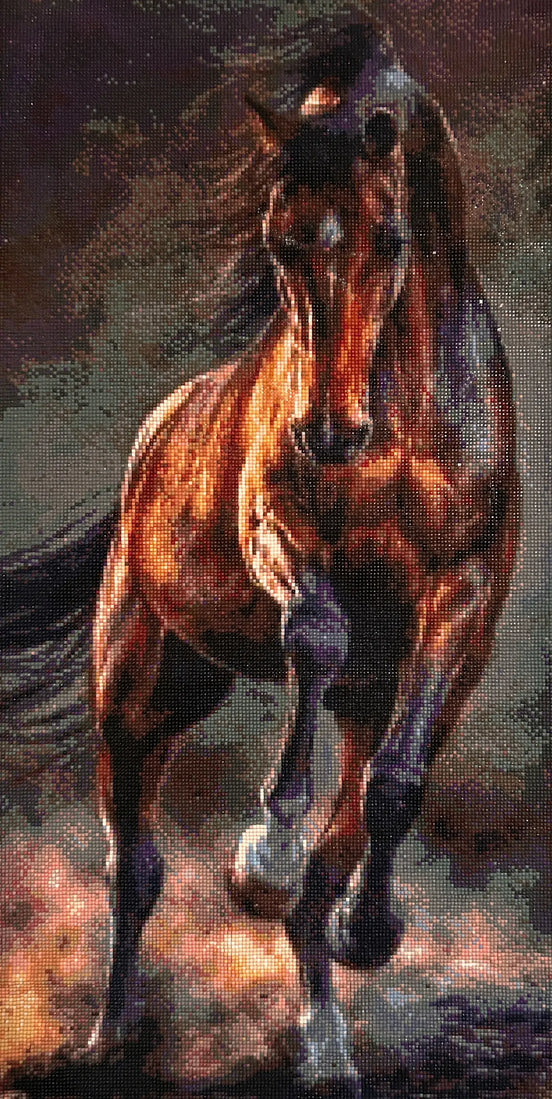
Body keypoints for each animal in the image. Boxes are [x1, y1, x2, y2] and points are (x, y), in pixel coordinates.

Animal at [90, 21, 518, 1094]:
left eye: (391, 237)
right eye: (281, 240)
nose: (329, 433)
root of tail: (155, 430)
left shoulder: (463, 597)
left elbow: (393, 787)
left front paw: (373, 929)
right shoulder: (280, 534)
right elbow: (314, 634)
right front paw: (264, 846)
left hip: (341, 689)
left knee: (340, 840)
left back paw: (327, 1045)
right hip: (140, 686)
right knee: (135, 865)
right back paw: (110, 1033)